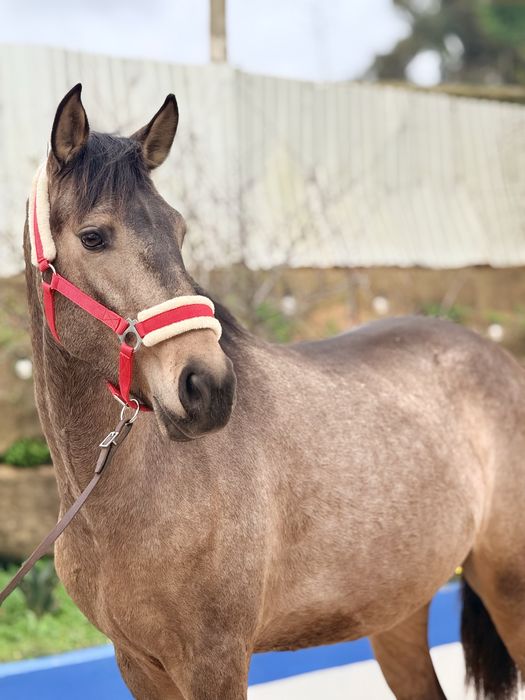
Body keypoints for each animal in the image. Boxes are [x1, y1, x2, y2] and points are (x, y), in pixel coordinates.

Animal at [22, 84, 525, 700]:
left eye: (179, 231)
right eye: (93, 237)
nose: (207, 386)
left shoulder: (216, 661)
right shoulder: (137, 664)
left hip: (509, 593)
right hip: (398, 613)